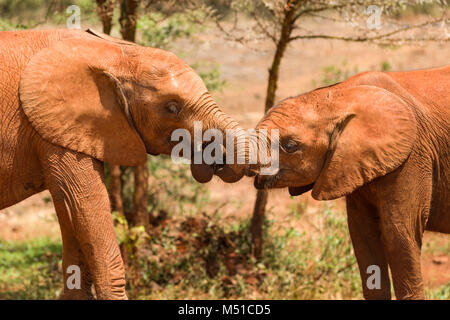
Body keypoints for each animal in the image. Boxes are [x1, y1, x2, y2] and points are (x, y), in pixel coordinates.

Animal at [0, 28, 248, 298]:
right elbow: (86, 202)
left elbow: (70, 211)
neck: (112, 53)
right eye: (172, 107)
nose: (217, 159)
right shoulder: (51, 127)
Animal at [251, 68, 450, 300]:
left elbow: (399, 235)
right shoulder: (355, 165)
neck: (338, 94)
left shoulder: (411, 157)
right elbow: (363, 237)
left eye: (290, 146)